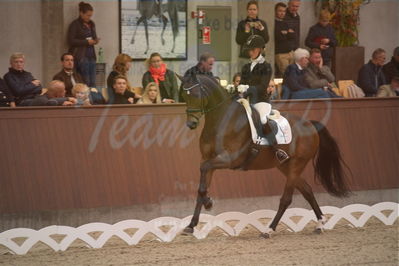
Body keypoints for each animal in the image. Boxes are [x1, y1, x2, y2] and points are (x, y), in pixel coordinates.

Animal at [180, 74, 352, 237]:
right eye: (184, 96)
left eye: (195, 95)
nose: (191, 124)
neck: (222, 120)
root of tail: (310, 124)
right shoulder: (208, 159)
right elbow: (201, 186)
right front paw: (191, 224)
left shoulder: (229, 159)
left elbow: (204, 170)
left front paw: (208, 203)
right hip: (286, 167)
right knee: (307, 191)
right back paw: (320, 224)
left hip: (297, 164)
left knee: (286, 199)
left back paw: (269, 230)